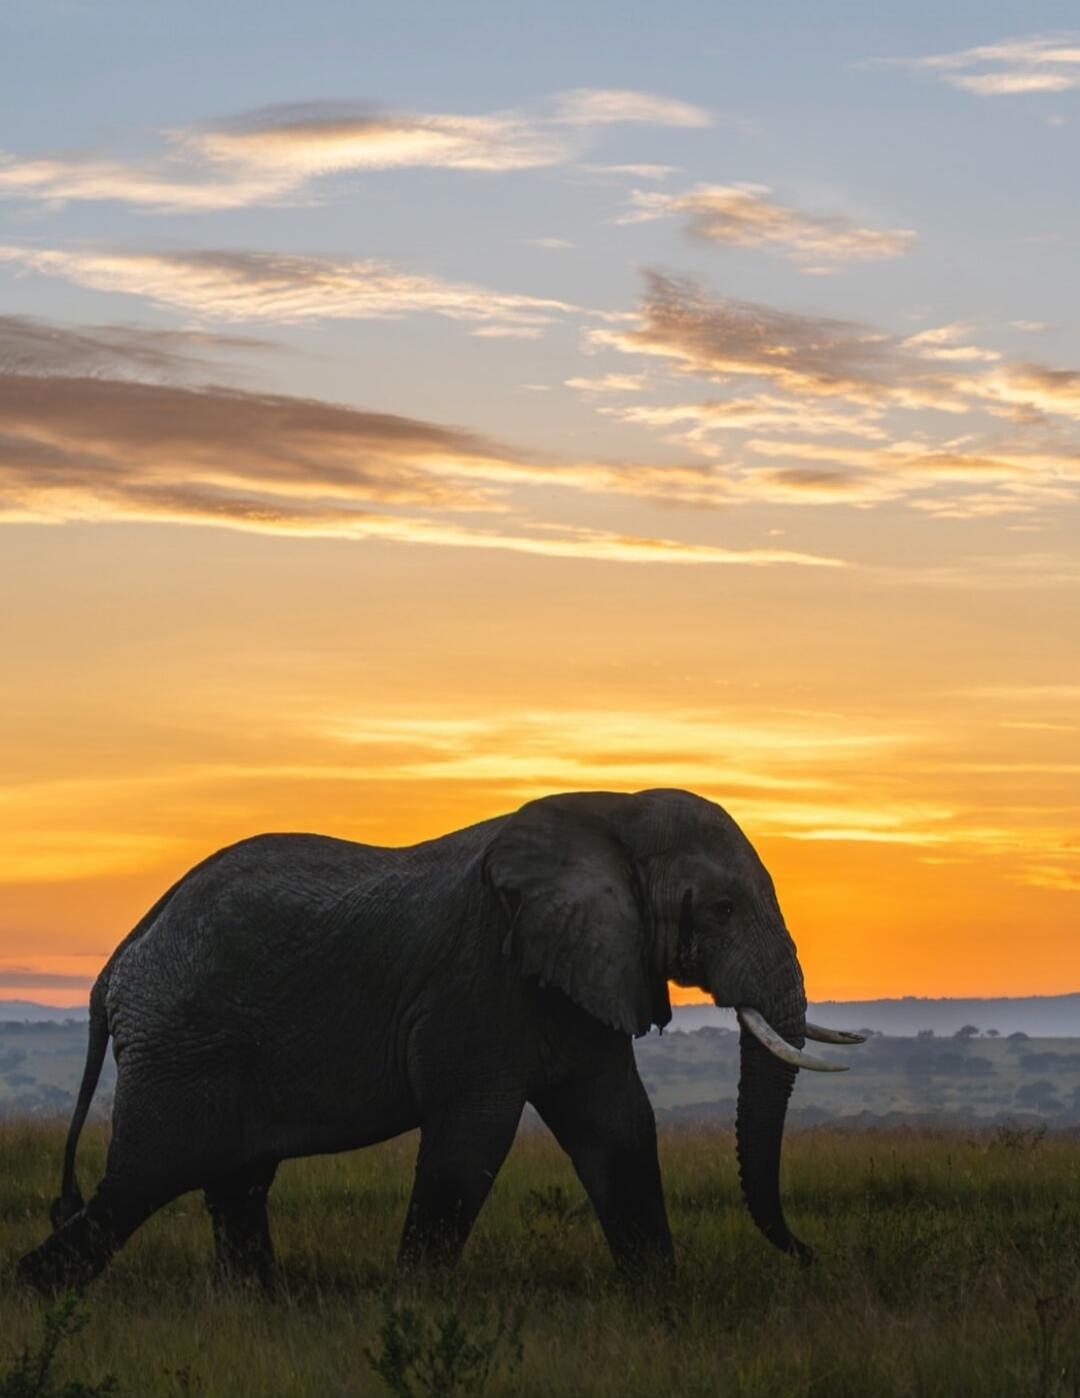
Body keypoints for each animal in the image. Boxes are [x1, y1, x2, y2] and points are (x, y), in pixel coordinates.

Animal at [18, 788, 861, 1293]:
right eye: (719, 909)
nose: (808, 1255)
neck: (611, 809)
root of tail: (118, 962)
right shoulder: (478, 980)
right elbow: (472, 1134)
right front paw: (414, 1307)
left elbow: (620, 1125)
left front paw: (662, 1306)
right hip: (182, 1044)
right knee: (144, 1181)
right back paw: (37, 1296)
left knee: (233, 1182)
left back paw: (260, 1309)